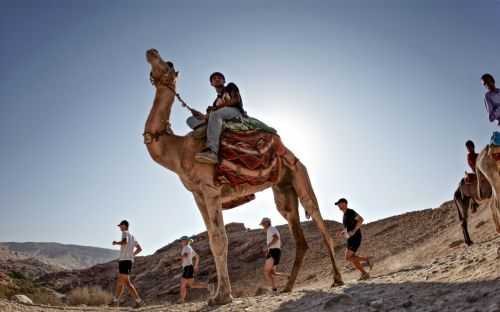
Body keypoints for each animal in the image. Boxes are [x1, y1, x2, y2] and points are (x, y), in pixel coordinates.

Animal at [143, 49, 342, 304]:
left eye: (168, 64)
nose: (152, 52)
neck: (178, 152)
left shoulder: (210, 189)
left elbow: (220, 240)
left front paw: (222, 297)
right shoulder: (197, 195)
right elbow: (211, 240)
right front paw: (217, 295)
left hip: (299, 173)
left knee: (317, 216)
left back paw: (337, 278)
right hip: (283, 190)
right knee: (298, 234)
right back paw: (287, 287)